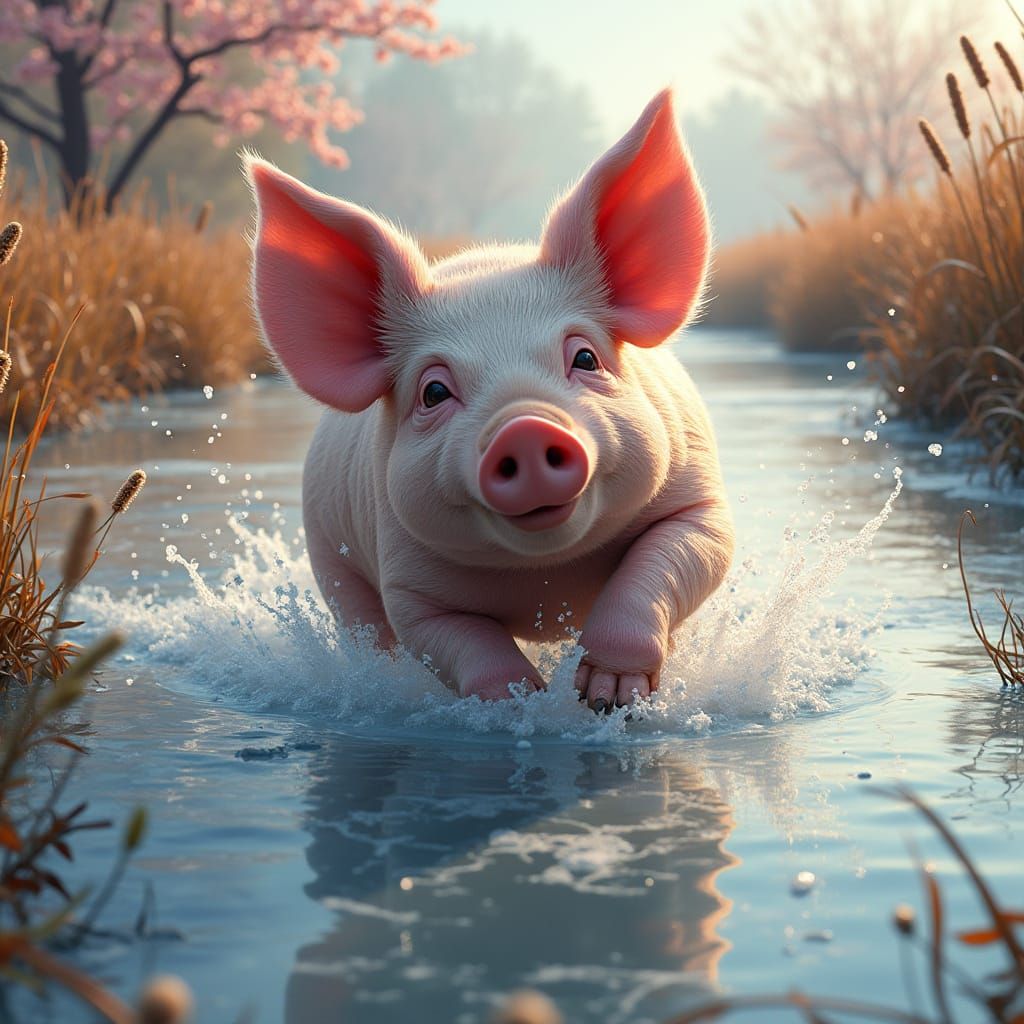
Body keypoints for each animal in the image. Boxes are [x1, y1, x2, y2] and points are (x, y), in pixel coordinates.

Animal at [245, 89, 735, 711]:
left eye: (585, 358)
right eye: (433, 391)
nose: (524, 427)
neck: (544, 575)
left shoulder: (697, 501)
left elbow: (671, 563)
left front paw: (607, 700)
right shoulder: (407, 579)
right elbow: (451, 639)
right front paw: (519, 705)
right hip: (330, 557)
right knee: (367, 631)